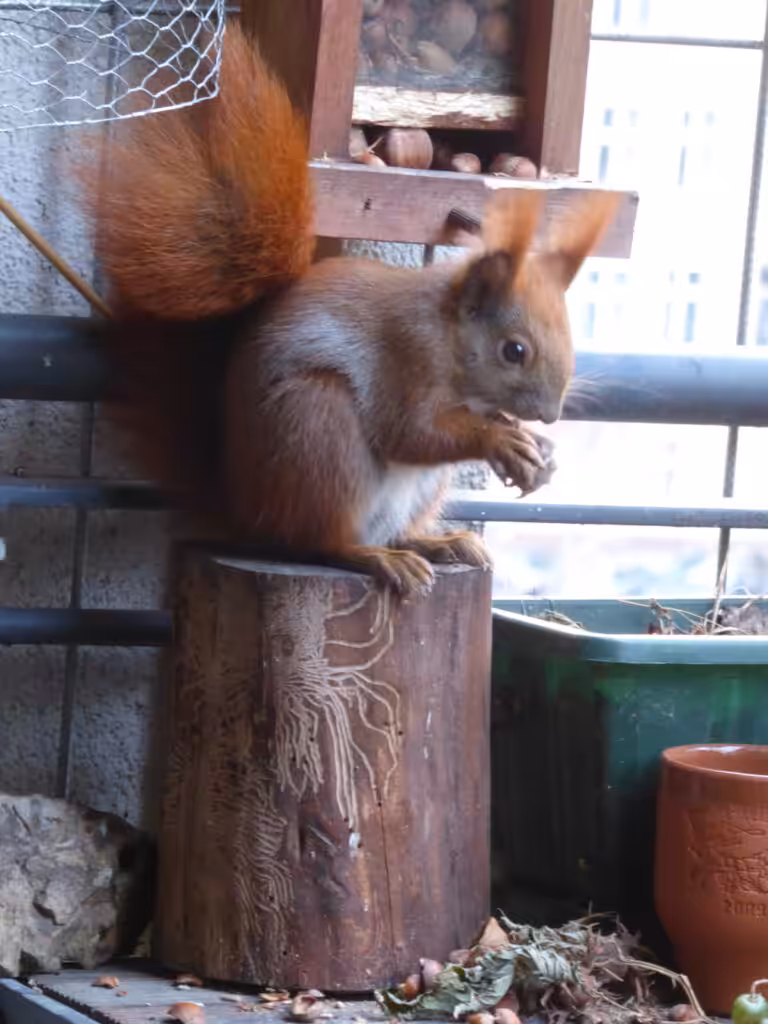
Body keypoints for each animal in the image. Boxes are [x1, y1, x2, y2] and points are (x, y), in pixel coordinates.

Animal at [79, 21, 619, 597]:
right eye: (513, 351)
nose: (551, 414)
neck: (450, 338)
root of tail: (248, 513)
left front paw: (539, 450)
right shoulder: (406, 357)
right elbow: (412, 431)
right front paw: (501, 440)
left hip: (414, 485)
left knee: (396, 529)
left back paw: (439, 542)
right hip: (318, 429)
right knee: (320, 541)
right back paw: (374, 556)